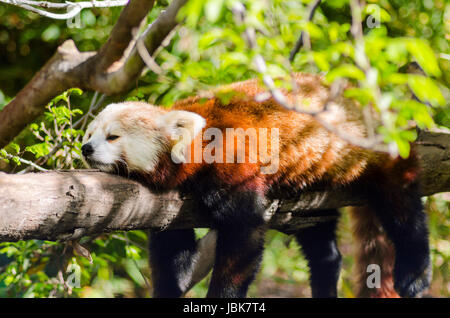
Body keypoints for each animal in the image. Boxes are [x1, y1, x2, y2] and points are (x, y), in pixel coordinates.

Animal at [82, 72, 430, 298]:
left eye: (113, 136)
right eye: (90, 134)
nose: (85, 149)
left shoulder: (233, 161)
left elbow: (243, 235)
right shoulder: (170, 207)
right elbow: (172, 249)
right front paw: (169, 289)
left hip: (377, 151)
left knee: (402, 208)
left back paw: (414, 272)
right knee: (321, 240)